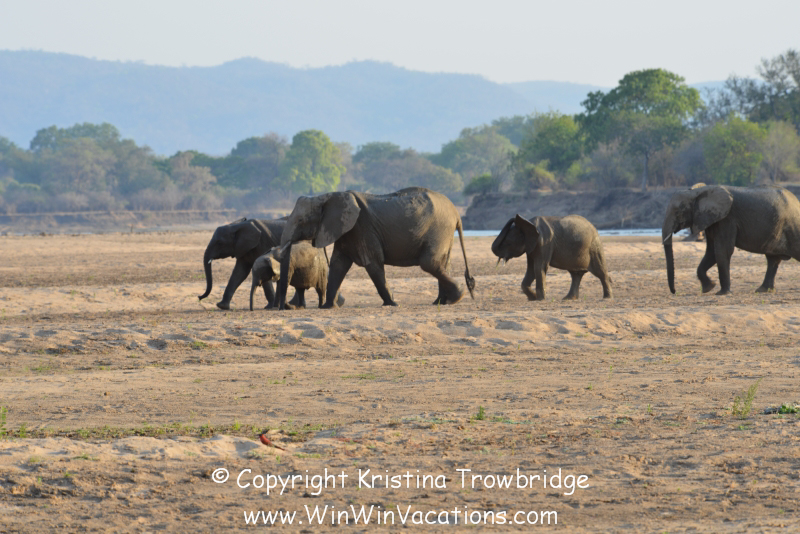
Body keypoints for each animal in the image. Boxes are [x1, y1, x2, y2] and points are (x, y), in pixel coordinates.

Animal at [277, 187, 476, 309]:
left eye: (301, 220)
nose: (284, 308)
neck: (327, 196)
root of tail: (457, 213)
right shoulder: (347, 230)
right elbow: (338, 265)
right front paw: (328, 307)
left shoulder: (361, 227)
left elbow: (372, 263)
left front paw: (392, 304)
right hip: (443, 232)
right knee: (442, 264)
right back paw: (441, 301)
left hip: (439, 229)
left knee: (430, 263)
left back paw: (457, 296)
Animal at [663, 184, 800, 295]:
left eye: (678, 212)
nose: (674, 291)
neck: (697, 192)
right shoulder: (713, 220)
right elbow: (711, 253)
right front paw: (709, 288)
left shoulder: (727, 219)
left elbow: (722, 251)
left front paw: (722, 293)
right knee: (772, 259)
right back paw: (763, 290)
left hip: (792, 227)